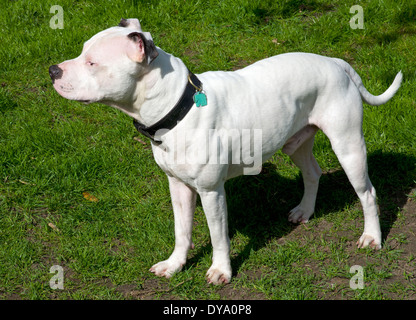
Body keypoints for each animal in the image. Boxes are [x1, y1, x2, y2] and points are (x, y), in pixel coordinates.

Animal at [49, 18, 404, 284]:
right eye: (82, 52)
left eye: (92, 62)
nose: (53, 70)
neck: (178, 108)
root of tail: (335, 62)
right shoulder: (178, 187)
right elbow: (182, 231)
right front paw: (174, 265)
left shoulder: (211, 192)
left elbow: (218, 235)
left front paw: (221, 271)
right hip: (297, 141)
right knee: (313, 172)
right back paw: (305, 211)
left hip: (348, 146)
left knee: (368, 193)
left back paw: (372, 237)